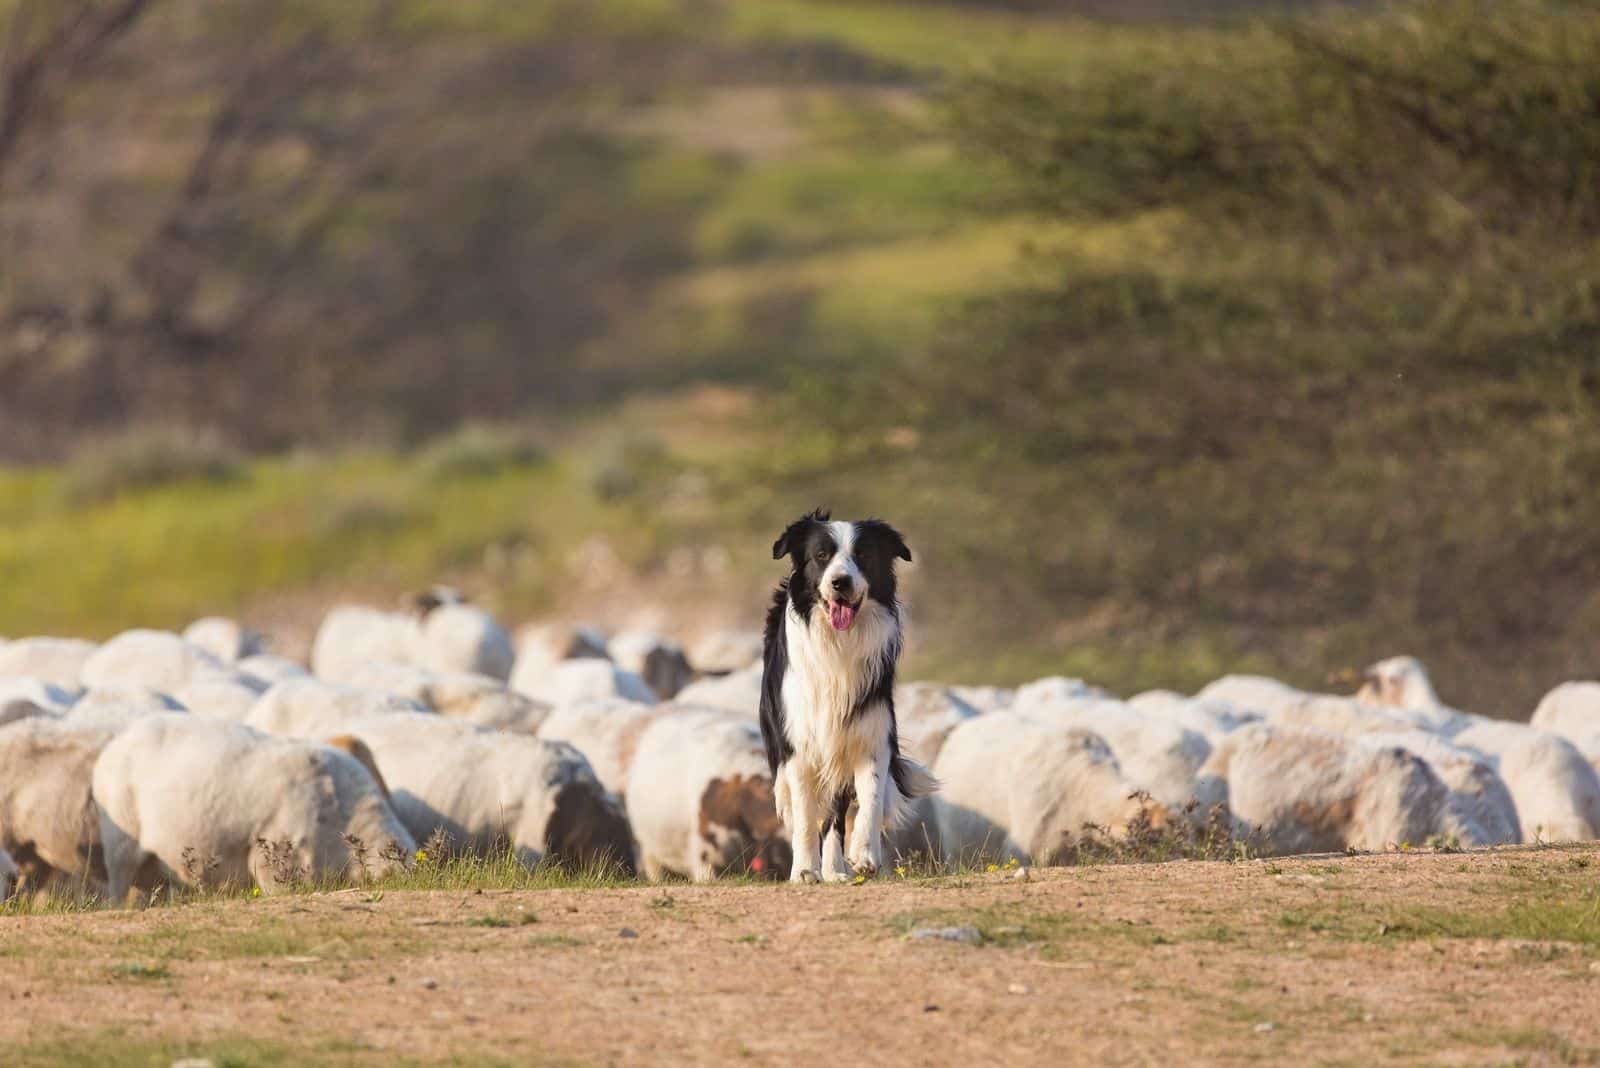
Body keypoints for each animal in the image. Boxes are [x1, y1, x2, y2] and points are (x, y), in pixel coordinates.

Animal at [758, 511, 934, 882]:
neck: (838, 642)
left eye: (863, 555)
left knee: (836, 816)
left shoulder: (869, 735)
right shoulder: (799, 745)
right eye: (821, 555)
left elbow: (870, 799)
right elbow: (806, 816)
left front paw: (864, 856)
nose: (840, 582)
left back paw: (835, 870)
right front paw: (804, 870)